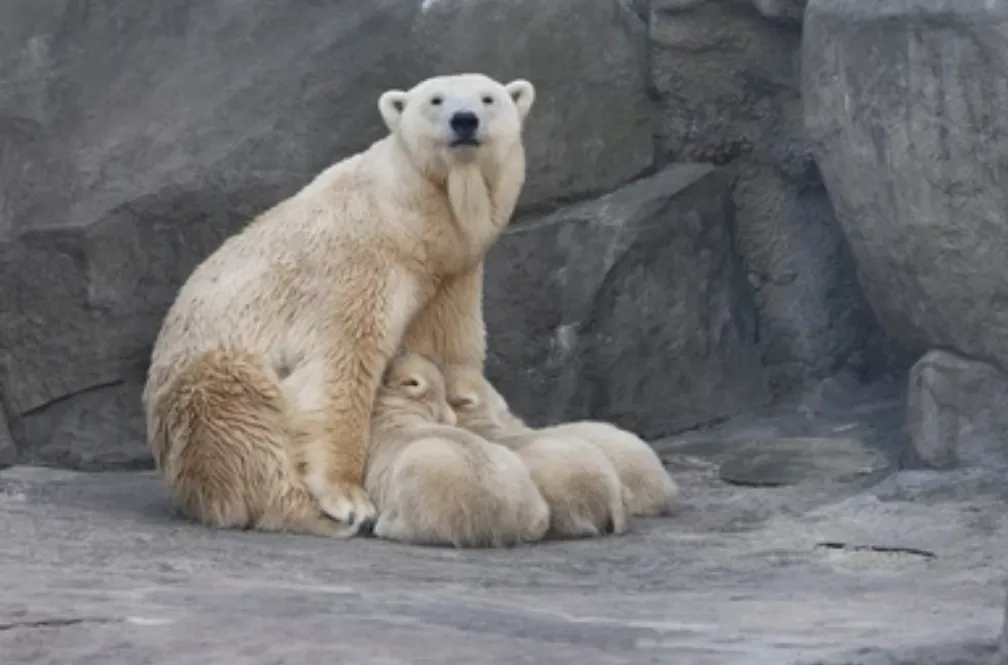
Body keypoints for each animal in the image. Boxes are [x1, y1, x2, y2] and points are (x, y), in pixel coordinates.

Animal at [142, 73, 536, 537]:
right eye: (436, 100)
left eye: (488, 98)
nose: (464, 120)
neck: (406, 220)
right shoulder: (356, 263)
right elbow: (339, 364)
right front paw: (349, 499)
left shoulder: (449, 277)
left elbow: (442, 349)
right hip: (198, 389)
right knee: (243, 422)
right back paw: (311, 513)